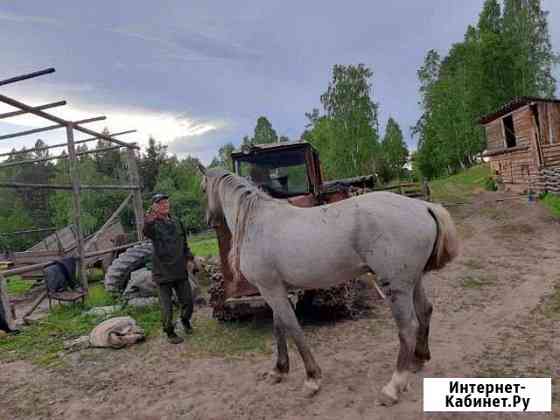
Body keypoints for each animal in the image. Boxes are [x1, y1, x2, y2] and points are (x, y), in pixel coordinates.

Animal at [199, 166, 458, 406]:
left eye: (202, 189)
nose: (208, 220)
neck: (256, 222)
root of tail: (422, 206)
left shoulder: (270, 289)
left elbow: (293, 329)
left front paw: (312, 379)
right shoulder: (274, 289)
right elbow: (279, 327)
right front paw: (279, 370)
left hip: (395, 286)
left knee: (408, 327)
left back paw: (393, 387)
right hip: (413, 281)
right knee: (425, 311)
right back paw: (418, 360)